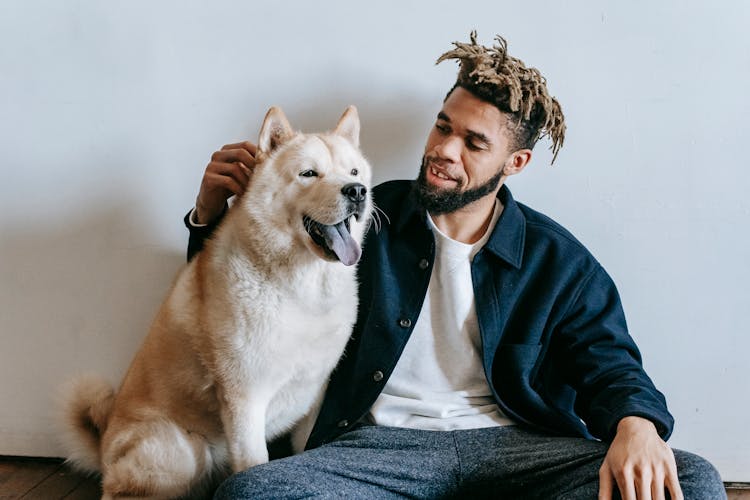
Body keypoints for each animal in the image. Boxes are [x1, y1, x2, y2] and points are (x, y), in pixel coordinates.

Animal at [61, 104, 374, 496]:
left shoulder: (315, 401)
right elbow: (255, 465)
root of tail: (103, 447)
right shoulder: (245, 401)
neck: (298, 286)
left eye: (353, 172)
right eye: (308, 173)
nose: (357, 191)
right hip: (182, 451)